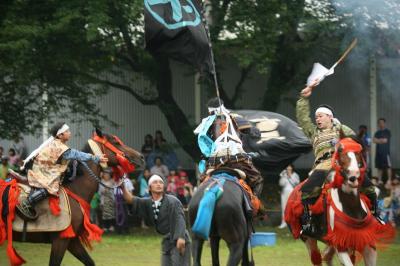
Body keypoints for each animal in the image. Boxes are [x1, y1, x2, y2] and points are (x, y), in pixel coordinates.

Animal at [0, 128, 144, 264]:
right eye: (116, 142)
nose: (141, 157)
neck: (75, 191)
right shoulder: (61, 240)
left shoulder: (72, 241)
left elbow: (89, 262)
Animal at [284, 137, 394, 266]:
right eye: (341, 154)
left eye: (358, 154)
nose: (353, 176)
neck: (352, 208)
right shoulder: (340, 246)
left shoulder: (367, 243)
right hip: (308, 238)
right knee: (316, 257)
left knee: (327, 256)